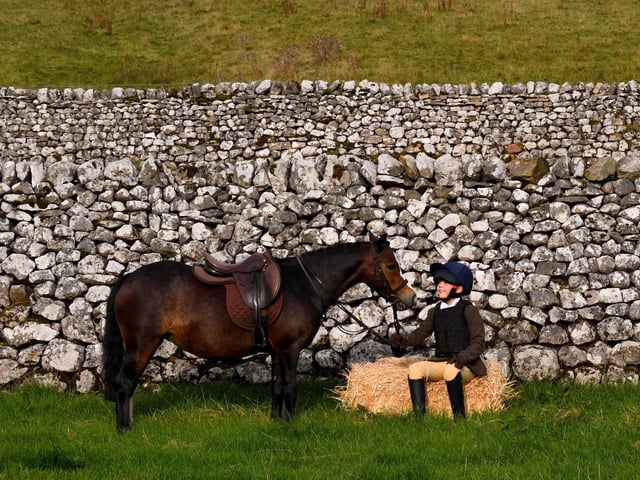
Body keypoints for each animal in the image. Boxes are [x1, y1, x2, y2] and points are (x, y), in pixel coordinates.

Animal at [102, 232, 416, 432]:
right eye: (391, 265)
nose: (409, 297)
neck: (304, 285)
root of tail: (128, 278)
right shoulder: (289, 349)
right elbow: (289, 387)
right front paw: (292, 424)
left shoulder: (277, 350)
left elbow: (276, 388)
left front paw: (276, 421)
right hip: (141, 345)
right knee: (125, 383)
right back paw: (124, 429)